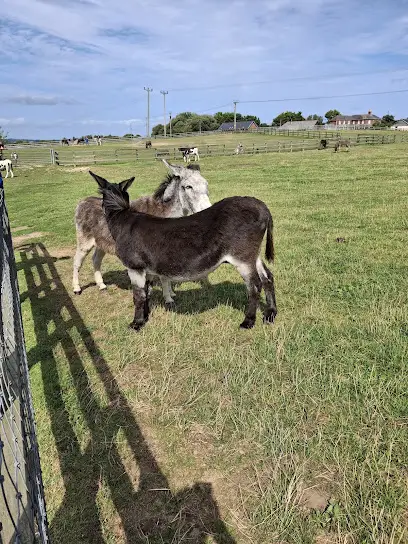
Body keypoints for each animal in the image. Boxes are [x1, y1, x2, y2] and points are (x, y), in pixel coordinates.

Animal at [91, 165, 278, 332]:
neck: (121, 218)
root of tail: (261, 206)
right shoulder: (147, 270)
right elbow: (147, 293)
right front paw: (145, 317)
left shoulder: (134, 267)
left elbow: (138, 296)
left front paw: (136, 324)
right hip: (253, 255)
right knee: (267, 278)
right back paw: (271, 314)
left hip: (242, 258)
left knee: (254, 286)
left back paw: (248, 322)